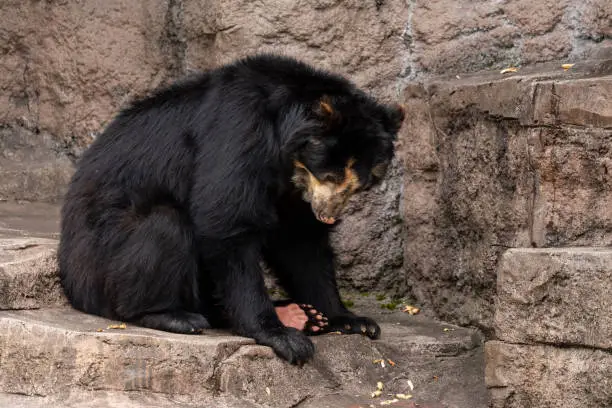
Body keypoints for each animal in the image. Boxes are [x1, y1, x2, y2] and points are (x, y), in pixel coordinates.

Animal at [59, 53, 406, 364]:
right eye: (330, 175)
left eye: (360, 185)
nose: (327, 215)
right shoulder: (238, 132)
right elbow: (227, 222)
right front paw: (282, 337)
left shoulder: (291, 190)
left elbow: (300, 241)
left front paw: (350, 320)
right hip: (101, 259)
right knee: (162, 227)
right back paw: (173, 315)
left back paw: (300, 313)